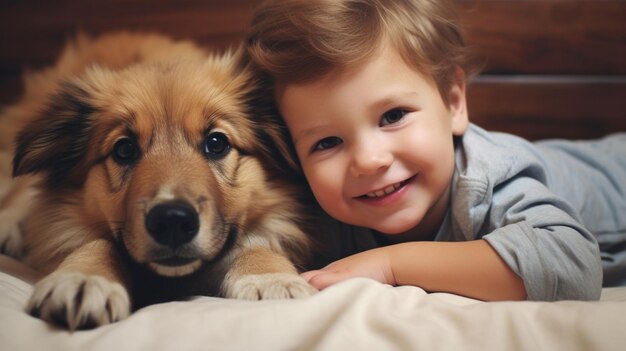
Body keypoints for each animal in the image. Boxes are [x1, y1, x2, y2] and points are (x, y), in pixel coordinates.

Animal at [0, 32, 314, 330]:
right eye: (124, 149)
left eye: (217, 143)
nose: (172, 221)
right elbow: (95, 242)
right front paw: (84, 278)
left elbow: (258, 244)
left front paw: (270, 278)